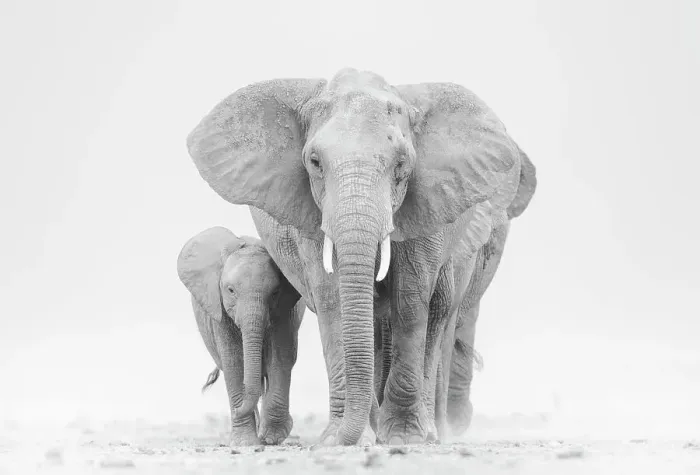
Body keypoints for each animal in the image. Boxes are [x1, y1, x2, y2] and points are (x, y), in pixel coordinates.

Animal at [176, 226, 304, 446]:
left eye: (275, 292)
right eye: (230, 290)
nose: (236, 410)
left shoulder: (285, 310)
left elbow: (280, 357)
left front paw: (273, 437)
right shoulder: (219, 309)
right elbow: (233, 362)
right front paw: (245, 443)